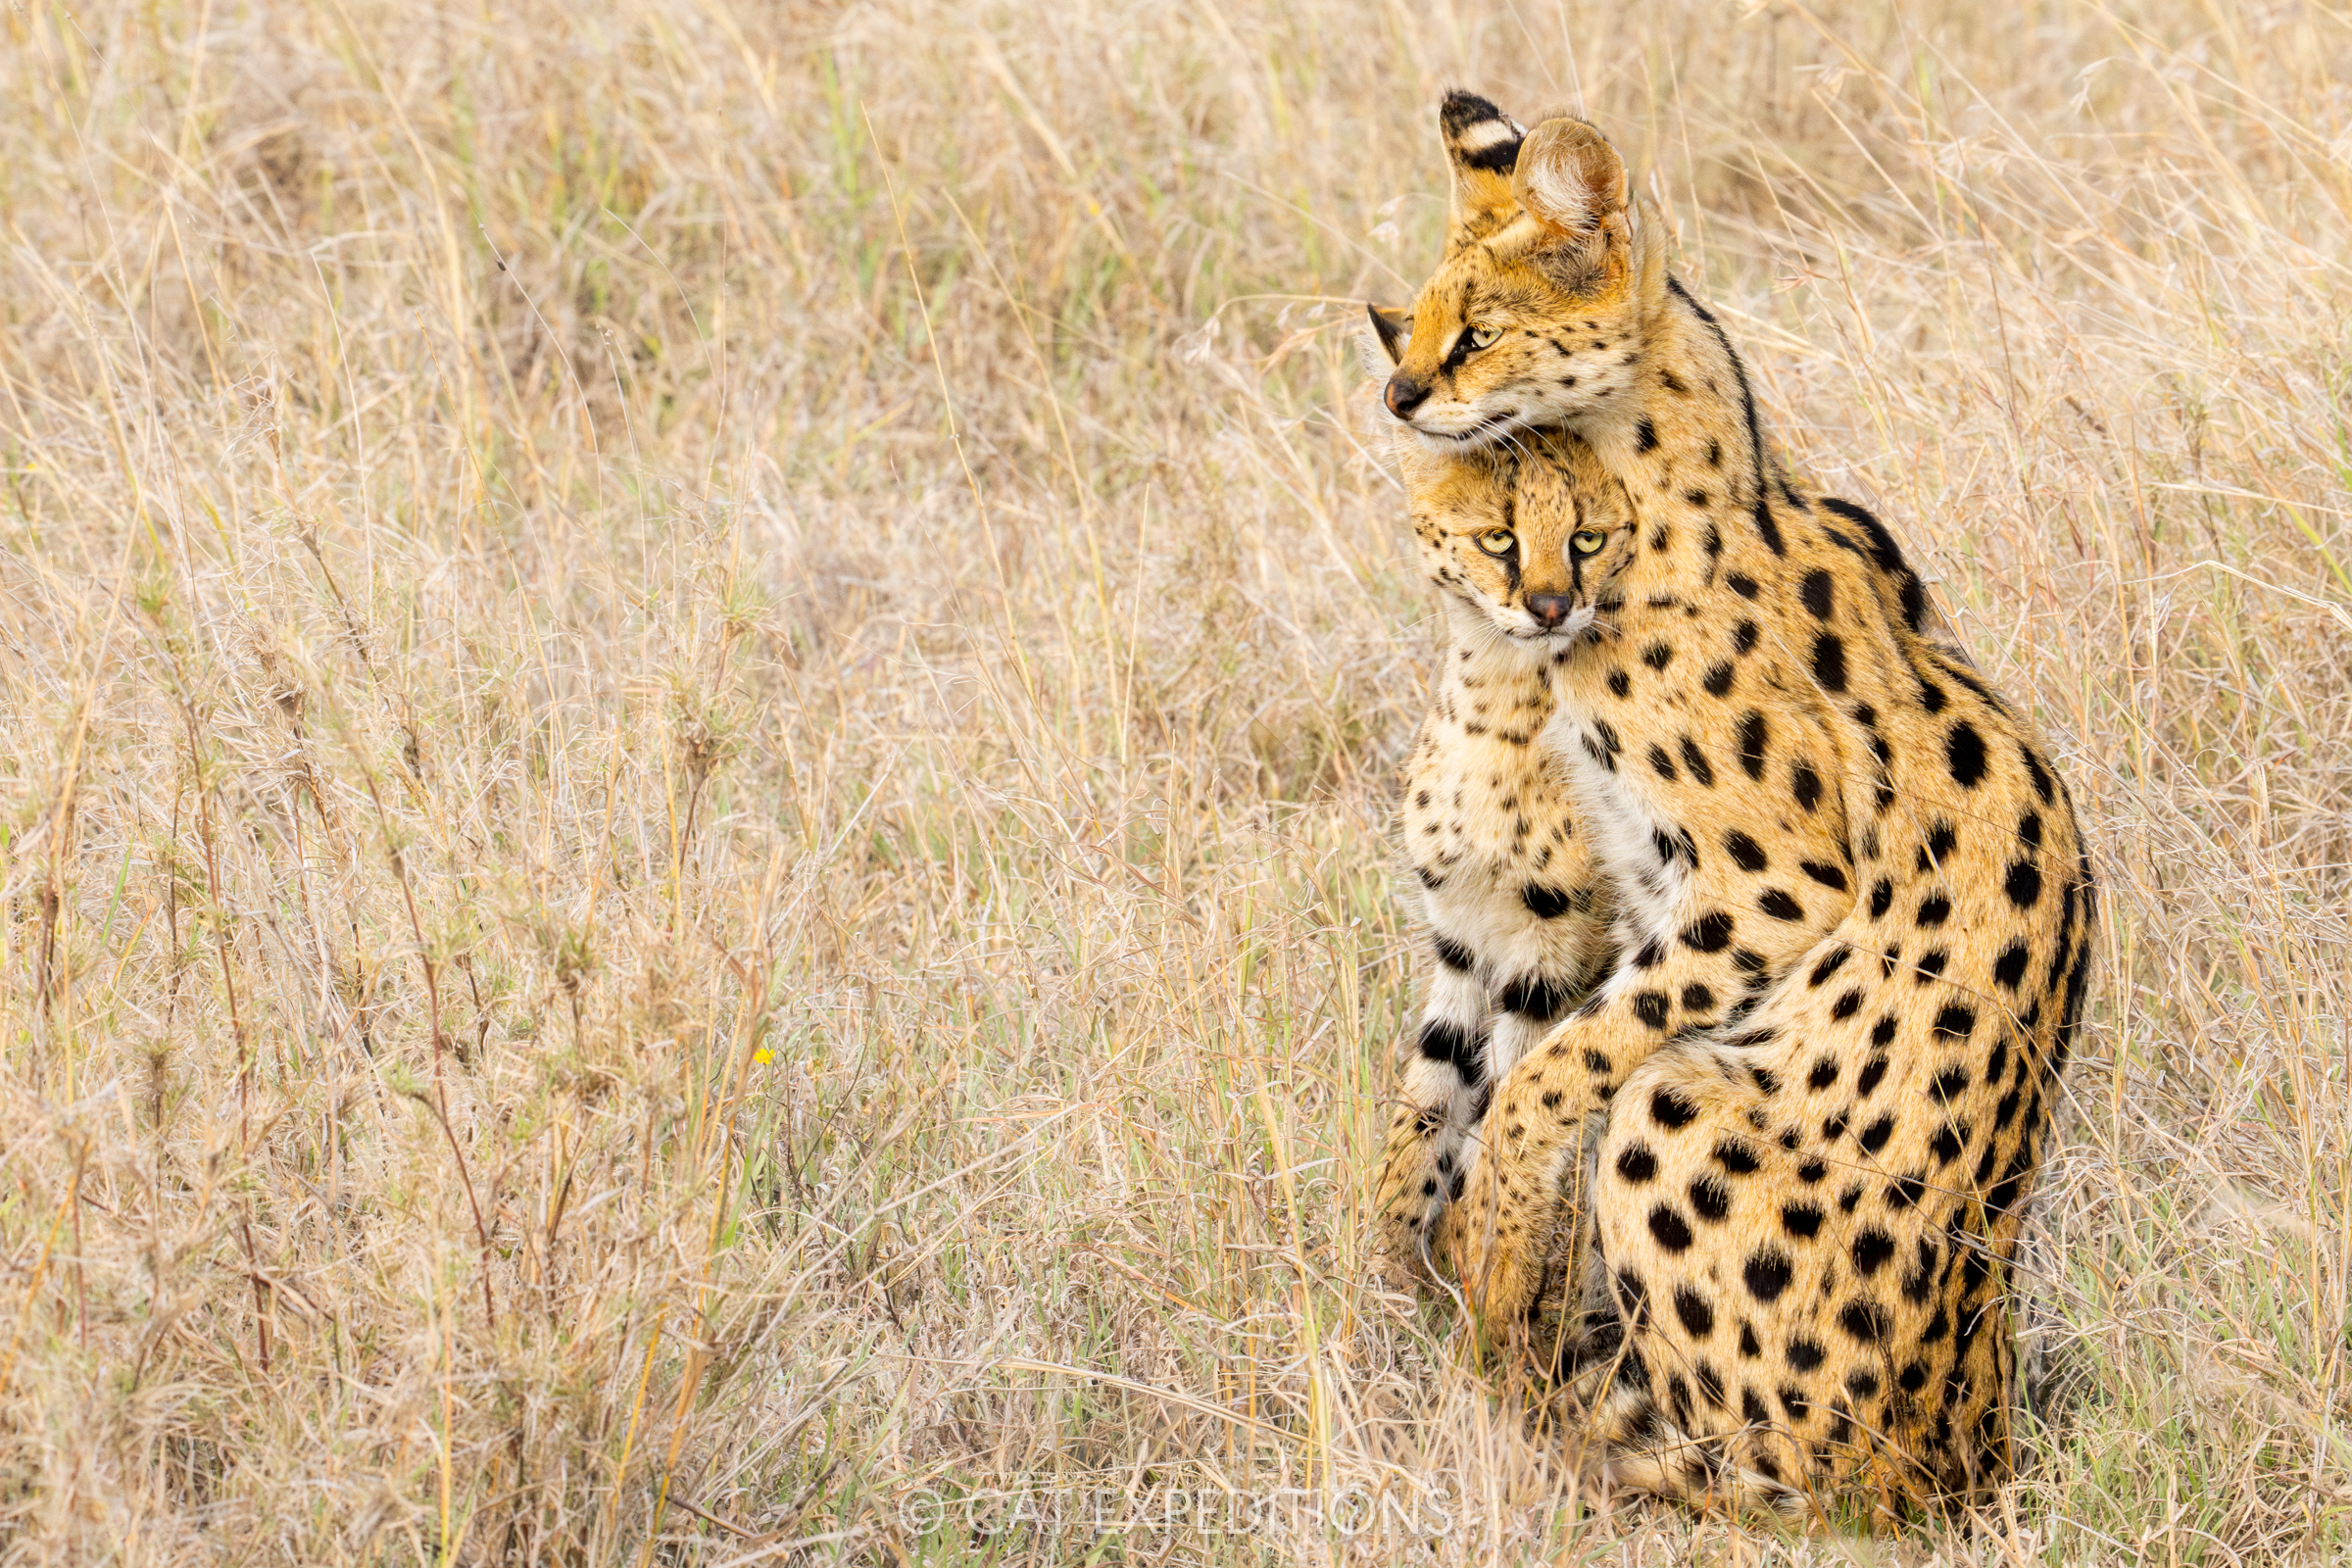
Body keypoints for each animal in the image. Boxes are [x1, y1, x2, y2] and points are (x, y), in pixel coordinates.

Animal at [1363, 92, 2097, 1514]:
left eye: (1476, 327)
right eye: (1415, 318)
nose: (1400, 391)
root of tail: (1965, 1456)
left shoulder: (1766, 887)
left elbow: (1553, 1070)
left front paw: (1491, 1248)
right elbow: (1450, 1096)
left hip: (1684, 1107)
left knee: (1755, 1465)